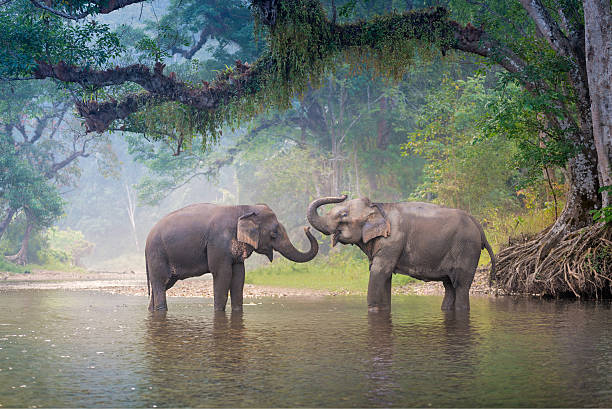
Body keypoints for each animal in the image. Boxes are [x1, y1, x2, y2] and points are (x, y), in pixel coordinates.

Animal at [143, 202, 316, 310]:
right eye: (273, 234)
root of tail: (147, 240)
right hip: (157, 254)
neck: (243, 209)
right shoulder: (218, 242)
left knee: (165, 284)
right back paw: (161, 310)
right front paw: (219, 312)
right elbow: (222, 273)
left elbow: (239, 276)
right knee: (161, 283)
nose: (307, 228)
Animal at [308, 194, 494, 310]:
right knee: (449, 286)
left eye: (343, 215)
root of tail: (478, 226)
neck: (378, 206)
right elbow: (385, 276)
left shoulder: (393, 240)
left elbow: (379, 272)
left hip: (467, 249)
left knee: (461, 286)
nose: (343, 194)